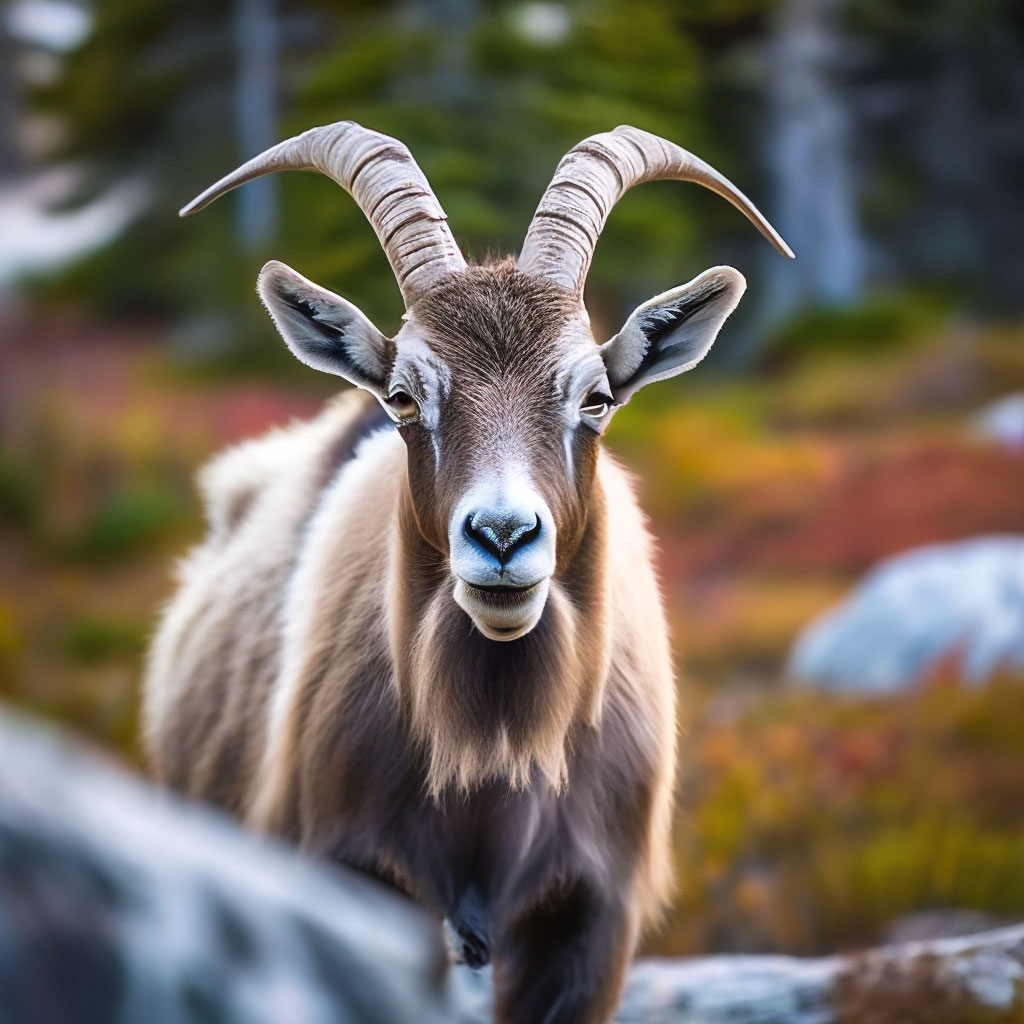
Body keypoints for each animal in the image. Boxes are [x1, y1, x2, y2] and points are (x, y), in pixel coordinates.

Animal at [144, 121, 790, 1024]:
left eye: (596, 397)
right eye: (404, 396)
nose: (503, 535)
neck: (493, 753)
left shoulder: (591, 916)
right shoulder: (355, 878)